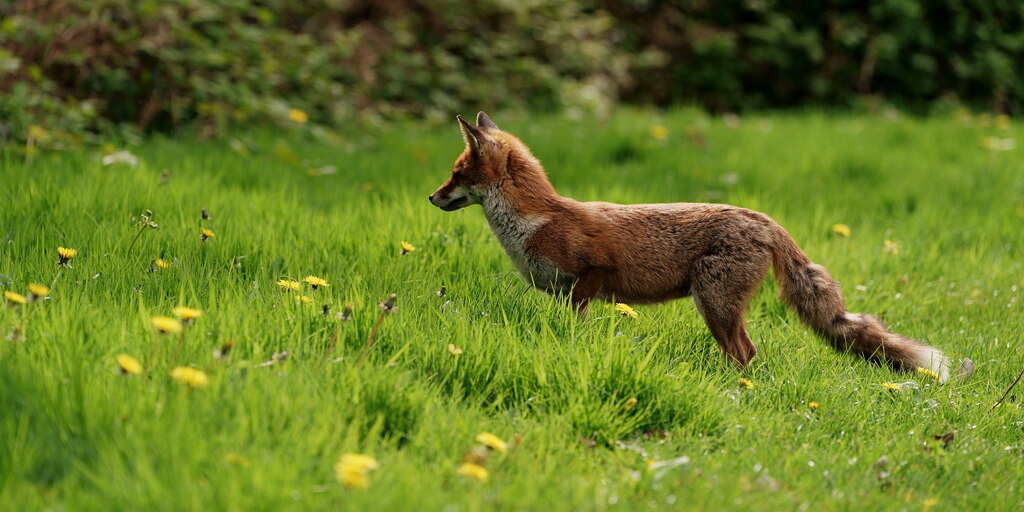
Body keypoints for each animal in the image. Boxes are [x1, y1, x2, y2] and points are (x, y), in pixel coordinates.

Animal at [428, 113, 970, 385]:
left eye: (455, 173)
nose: (432, 198)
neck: (534, 223)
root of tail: (763, 219)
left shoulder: (591, 275)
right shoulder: (564, 294)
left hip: (714, 305)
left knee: (746, 355)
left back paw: (732, 393)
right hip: (719, 307)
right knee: (748, 354)